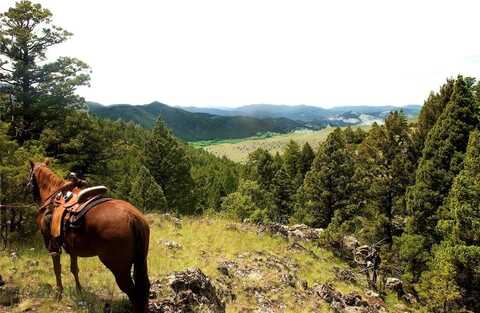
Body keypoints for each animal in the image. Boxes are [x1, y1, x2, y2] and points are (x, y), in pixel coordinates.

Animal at [27, 160, 150, 310]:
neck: (53, 197)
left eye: (30, 175)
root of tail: (132, 217)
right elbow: (74, 269)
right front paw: (79, 290)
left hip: (119, 267)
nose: (29, 189)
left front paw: (59, 294)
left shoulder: (52, 247)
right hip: (141, 260)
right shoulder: (72, 249)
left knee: (133, 292)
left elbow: (57, 270)